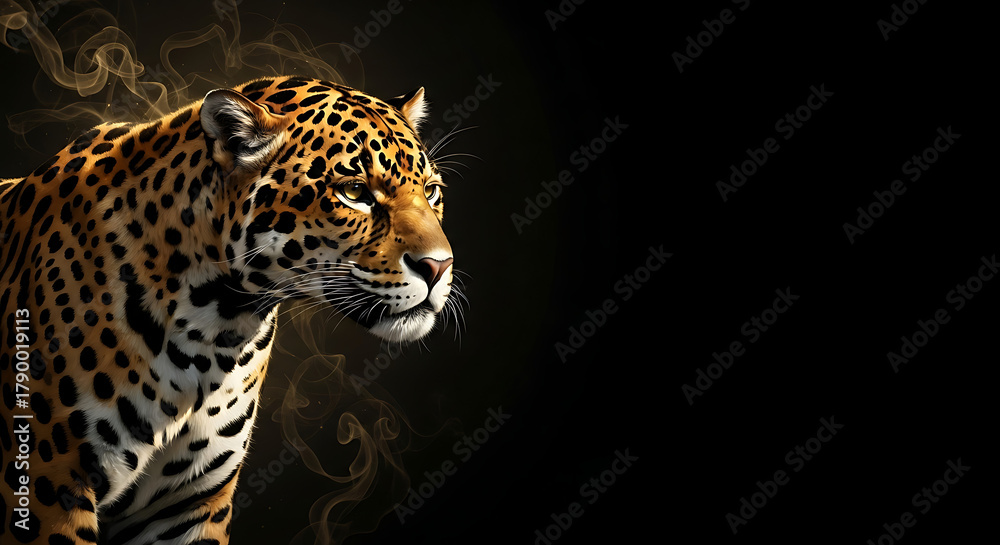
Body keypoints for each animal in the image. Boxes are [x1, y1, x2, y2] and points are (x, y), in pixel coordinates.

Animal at [0, 75, 456, 544]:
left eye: (432, 191)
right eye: (354, 192)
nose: (439, 266)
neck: (210, 331)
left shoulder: (192, 503)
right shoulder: (51, 488)